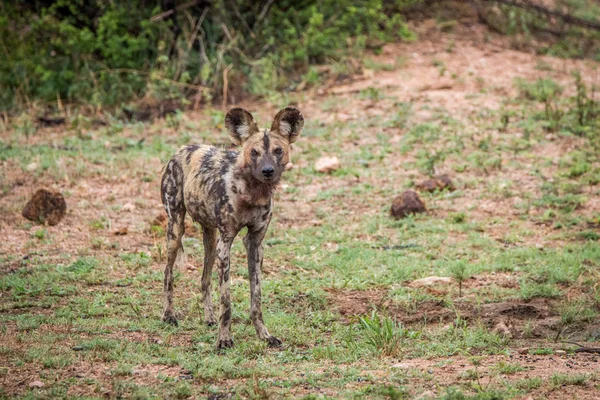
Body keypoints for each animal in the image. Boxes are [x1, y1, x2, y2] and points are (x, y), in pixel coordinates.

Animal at [161, 108, 304, 348]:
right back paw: (168, 315)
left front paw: (264, 335)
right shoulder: (226, 244)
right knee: (168, 273)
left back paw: (209, 318)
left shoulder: (254, 243)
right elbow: (226, 302)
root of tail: (182, 149)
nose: (268, 171)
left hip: (211, 240)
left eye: (278, 151)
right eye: (254, 152)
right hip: (176, 231)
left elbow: (256, 299)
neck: (252, 192)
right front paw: (224, 340)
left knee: (204, 279)